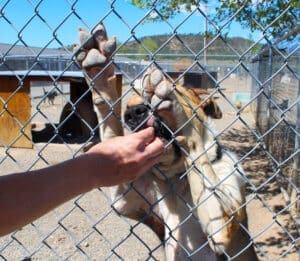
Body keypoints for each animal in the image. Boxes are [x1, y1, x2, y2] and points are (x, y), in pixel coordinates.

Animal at [73, 23, 258, 258]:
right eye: (127, 107)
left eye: (176, 88)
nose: (133, 114)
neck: (178, 177)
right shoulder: (125, 200)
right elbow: (109, 121)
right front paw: (99, 75)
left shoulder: (223, 227)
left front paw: (176, 107)